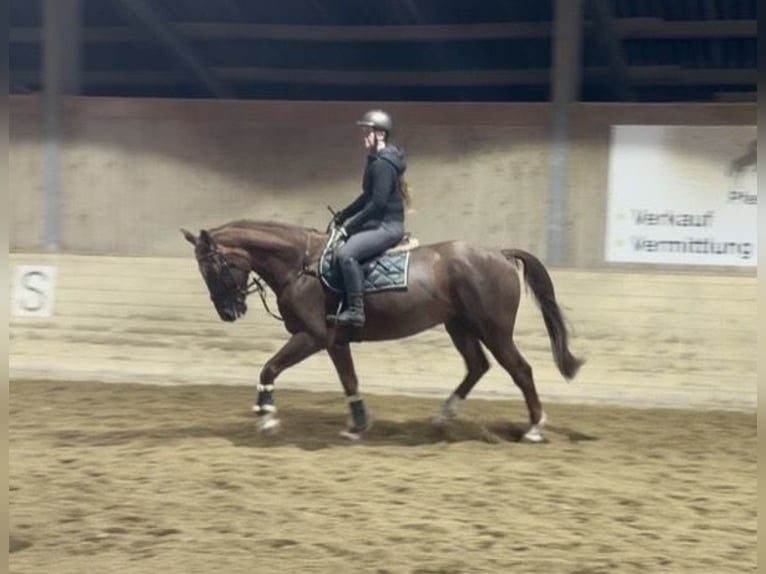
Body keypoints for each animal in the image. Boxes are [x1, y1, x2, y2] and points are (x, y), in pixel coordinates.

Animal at [181, 219, 583, 442]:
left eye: (214, 266)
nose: (229, 312)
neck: (302, 265)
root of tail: (499, 254)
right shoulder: (334, 341)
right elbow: (350, 380)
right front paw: (357, 425)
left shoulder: (313, 337)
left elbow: (270, 368)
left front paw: (266, 415)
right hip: (460, 325)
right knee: (477, 366)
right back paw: (443, 417)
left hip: (493, 329)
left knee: (520, 370)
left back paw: (535, 428)